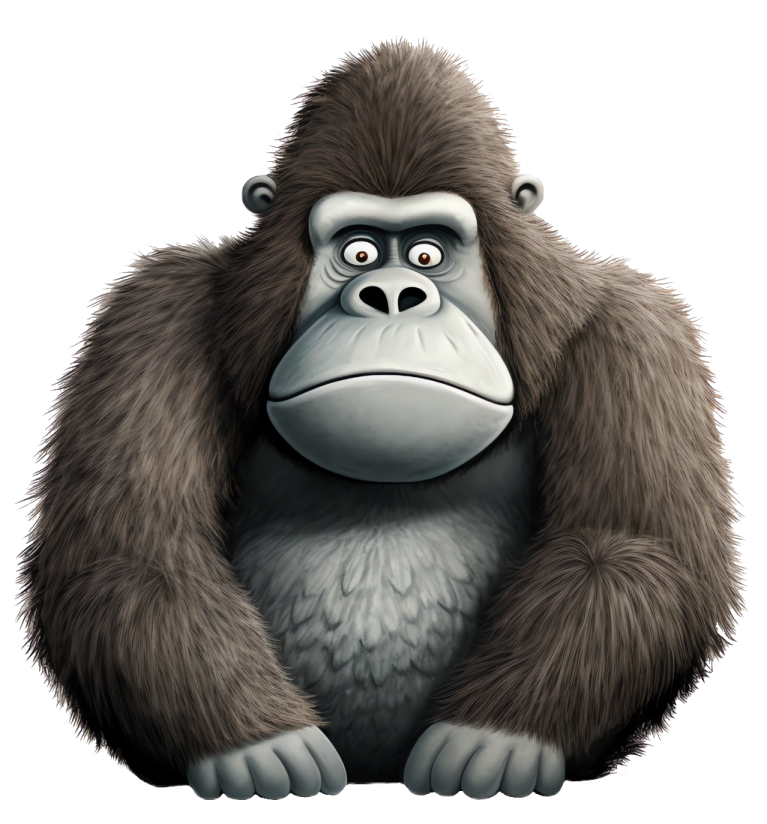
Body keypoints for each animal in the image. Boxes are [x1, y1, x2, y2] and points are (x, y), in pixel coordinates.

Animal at [16, 39, 745, 800]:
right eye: (358, 250)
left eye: (428, 252)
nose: (392, 294)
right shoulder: (152, 315)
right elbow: (128, 552)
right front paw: (257, 747)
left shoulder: (634, 331)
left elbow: (628, 543)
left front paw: (494, 740)